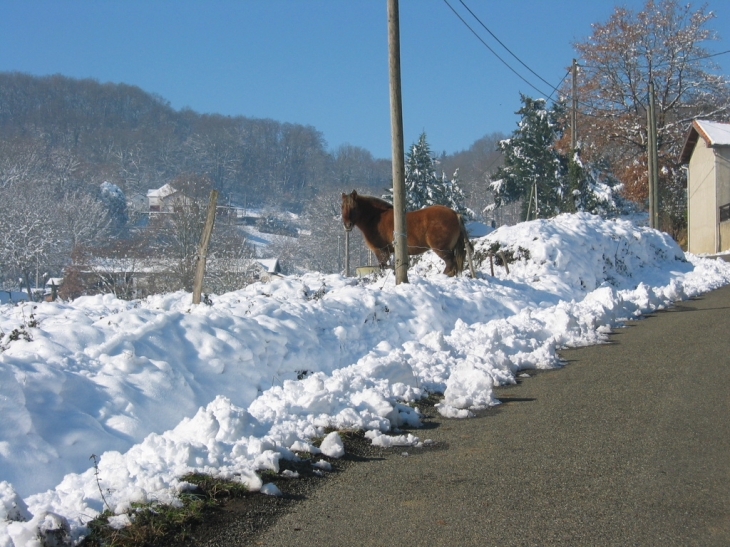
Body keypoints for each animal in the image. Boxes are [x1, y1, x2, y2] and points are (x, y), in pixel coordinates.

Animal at [340, 193, 474, 278]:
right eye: (342, 207)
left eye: (354, 207)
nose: (347, 225)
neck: (375, 217)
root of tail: (455, 214)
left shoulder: (382, 251)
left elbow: (383, 267)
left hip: (442, 249)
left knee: (450, 264)